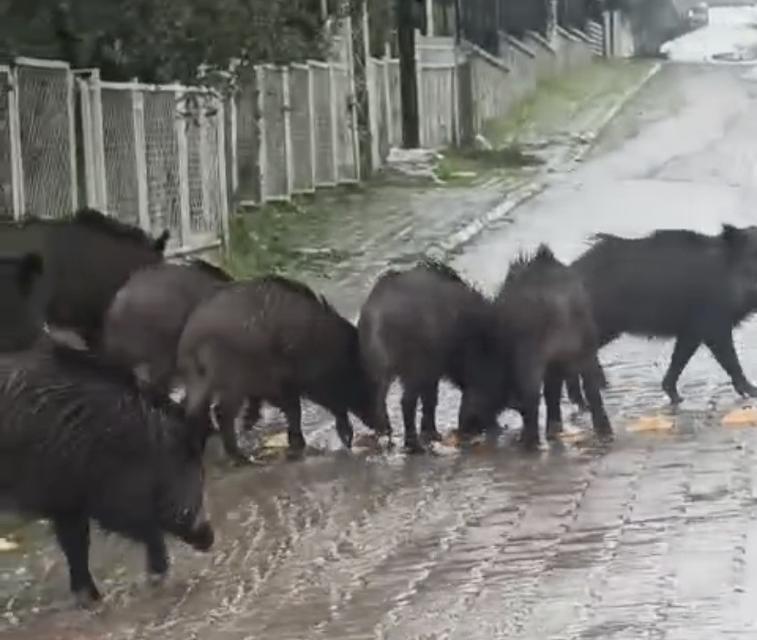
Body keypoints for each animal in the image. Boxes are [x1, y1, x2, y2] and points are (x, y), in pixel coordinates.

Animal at [177, 275, 374, 462]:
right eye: (360, 377)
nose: (379, 425)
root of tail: (192, 341)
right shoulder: (288, 383)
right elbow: (297, 411)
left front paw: (249, 424)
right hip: (231, 381)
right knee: (220, 412)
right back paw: (242, 458)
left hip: (199, 381)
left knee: (191, 408)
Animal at [358, 259, 509, 452]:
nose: (496, 427)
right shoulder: (433, 369)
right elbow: (430, 400)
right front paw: (430, 434)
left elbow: (429, 400)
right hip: (414, 369)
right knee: (406, 402)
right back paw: (414, 445)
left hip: (379, 369)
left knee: (379, 402)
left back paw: (386, 435)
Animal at [495, 245, 611, 447]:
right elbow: (553, 393)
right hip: (586, 347)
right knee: (592, 390)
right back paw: (602, 430)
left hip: (531, 359)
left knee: (532, 398)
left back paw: (529, 442)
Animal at [565, 225, 757, 405]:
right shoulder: (712, 324)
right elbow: (730, 360)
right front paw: (752, 392)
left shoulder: (692, 331)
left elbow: (679, 360)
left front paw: (676, 398)